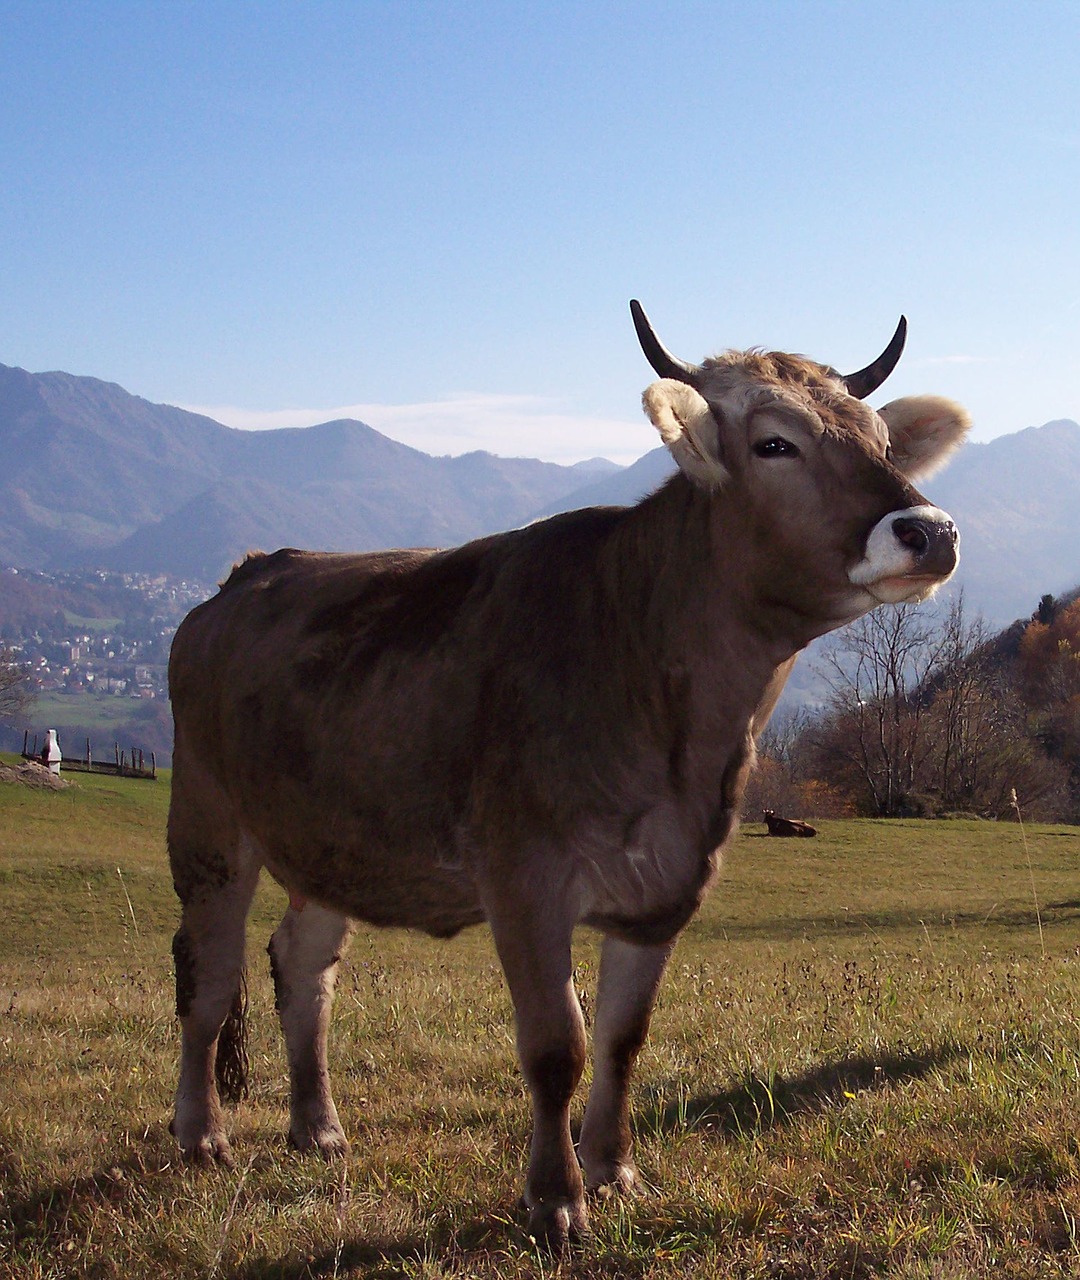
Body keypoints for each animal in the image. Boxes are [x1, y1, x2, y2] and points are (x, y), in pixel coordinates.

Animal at [168, 296, 972, 1239]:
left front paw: (615, 1170)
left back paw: (317, 1128)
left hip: (330, 837)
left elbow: (624, 1039)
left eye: (883, 442)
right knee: (208, 974)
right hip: (209, 820)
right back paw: (200, 1136)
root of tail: (251, 572)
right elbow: (558, 1044)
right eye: (775, 443)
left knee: (303, 964)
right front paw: (555, 1199)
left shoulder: (668, 883)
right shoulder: (522, 876)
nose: (930, 531)